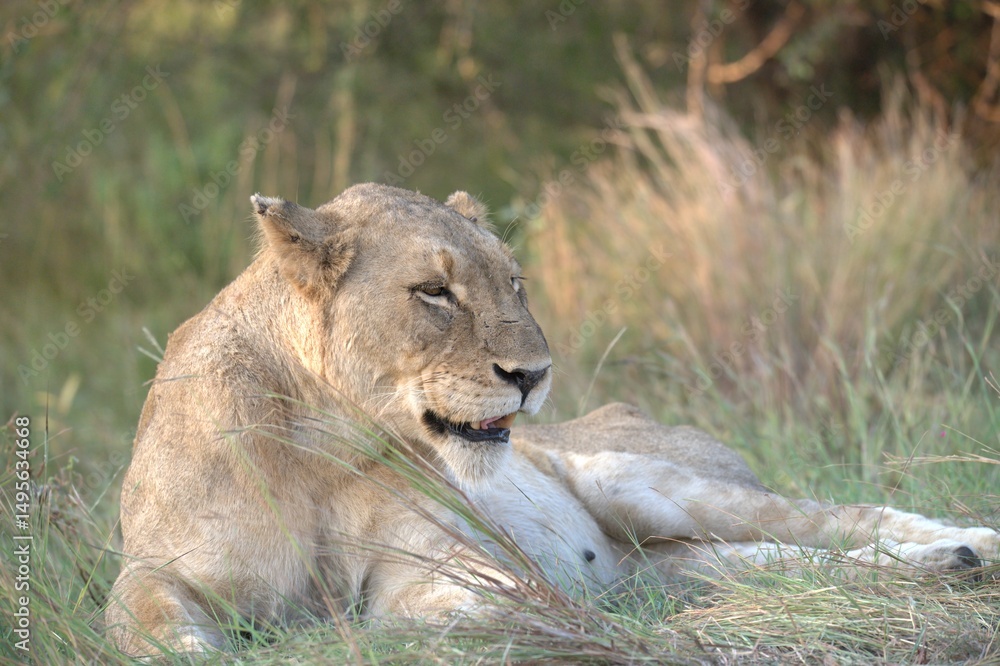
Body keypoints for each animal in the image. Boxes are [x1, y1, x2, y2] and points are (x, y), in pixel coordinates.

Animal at [106, 183, 999, 655]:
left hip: (643, 479)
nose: (532, 376)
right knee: (788, 565)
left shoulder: (447, 566)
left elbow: (455, 610)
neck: (320, 443)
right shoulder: (154, 569)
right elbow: (145, 623)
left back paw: (969, 548)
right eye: (434, 292)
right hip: (681, 560)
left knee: (844, 517)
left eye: (515, 283)